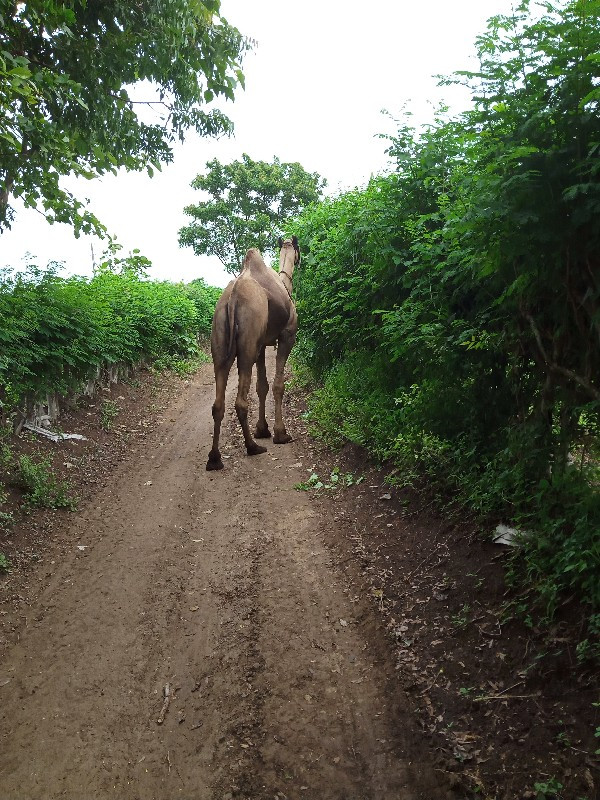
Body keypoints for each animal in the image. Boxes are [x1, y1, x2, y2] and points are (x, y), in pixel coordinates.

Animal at [206, 234, 300, 468]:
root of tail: (232, 298)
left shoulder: (261, 345)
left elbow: (262, 386)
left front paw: (262, 429)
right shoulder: (287, 336)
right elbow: (277, 385)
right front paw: (280, 433)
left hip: (220, 339)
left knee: (218, 402)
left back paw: (214, 458)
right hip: (248, 342)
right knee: (240, 401)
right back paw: (252, 447)